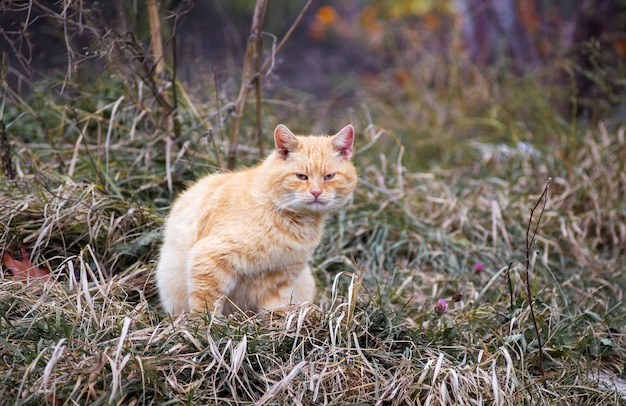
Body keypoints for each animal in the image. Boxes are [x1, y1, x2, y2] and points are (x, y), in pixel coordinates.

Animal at [154, 124, 354, 318]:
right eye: (301, 176)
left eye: (329, 176)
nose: (316, 192)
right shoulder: (209, 257)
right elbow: (206, 303)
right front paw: (209, 324)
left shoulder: (281, 278)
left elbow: (276, 307)